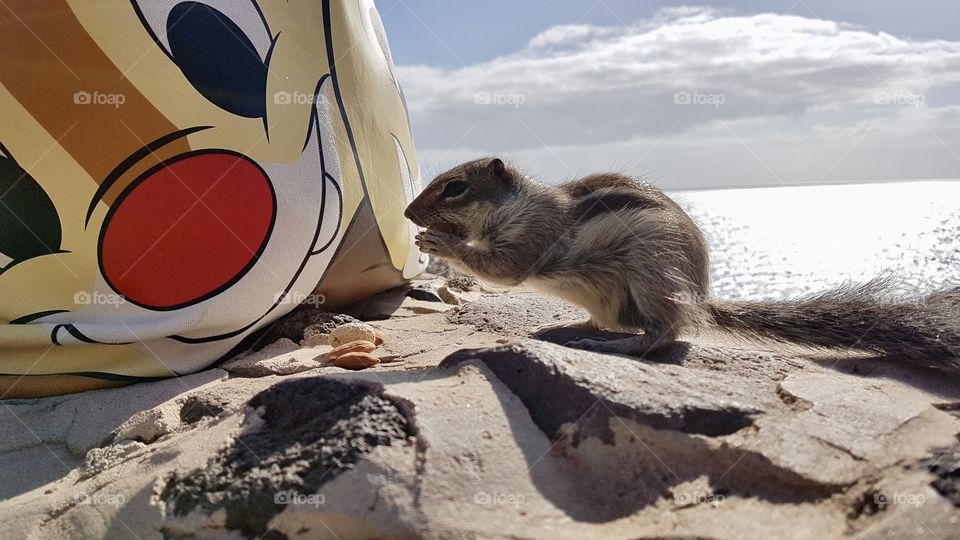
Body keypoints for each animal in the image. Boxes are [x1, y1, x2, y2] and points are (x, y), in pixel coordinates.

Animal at [404, 157, 960, 373]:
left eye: (456, 187)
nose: (408, 213)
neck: (515, 205)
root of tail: (700, 297)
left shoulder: (532, 235)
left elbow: (504, 268)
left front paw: (440, 241)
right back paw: (571, 328)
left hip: (650, 274)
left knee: (662, 334)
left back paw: (610, 344)